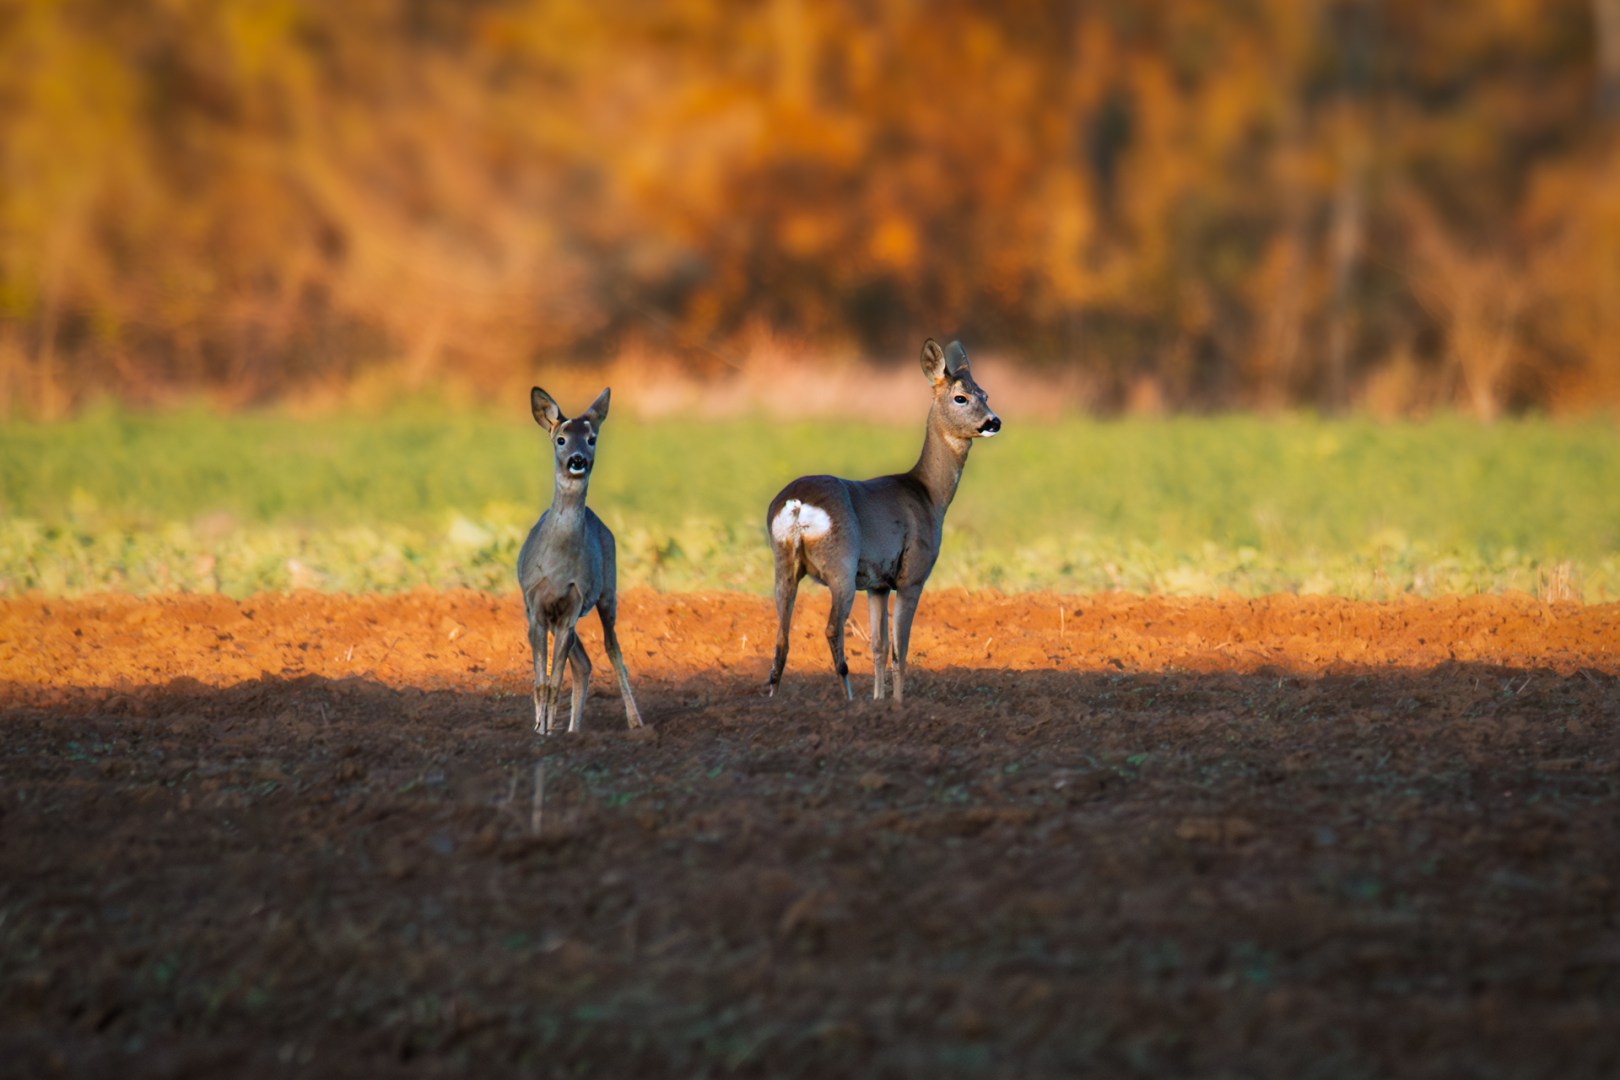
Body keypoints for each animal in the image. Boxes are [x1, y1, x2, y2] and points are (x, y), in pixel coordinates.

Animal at [517, 386, 644, 735]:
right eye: (561, 439)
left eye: (591, 438)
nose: (578, 461)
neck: (558, 568)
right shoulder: (536, 607)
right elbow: (541, 683)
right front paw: (540, 731)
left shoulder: (572, 606)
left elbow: (554, 682)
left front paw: (546, 731)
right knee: (584, 664)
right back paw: (572, 731)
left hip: (607, 592)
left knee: (612, 650)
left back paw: (635, 722)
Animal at [765, 338, 1001, 703]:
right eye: (960, 397)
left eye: (985, 393)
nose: (994, 421)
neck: (929, 495)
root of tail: (797, 504)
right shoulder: (911, 575)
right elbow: (899, 650)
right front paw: (897, 705)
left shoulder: (877, 584)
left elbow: (877, 646)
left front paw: (879, 701)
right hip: (840, 563)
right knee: (832, 628)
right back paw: (849, 699)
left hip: (784, 563)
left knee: (781, 636)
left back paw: (774, 700)